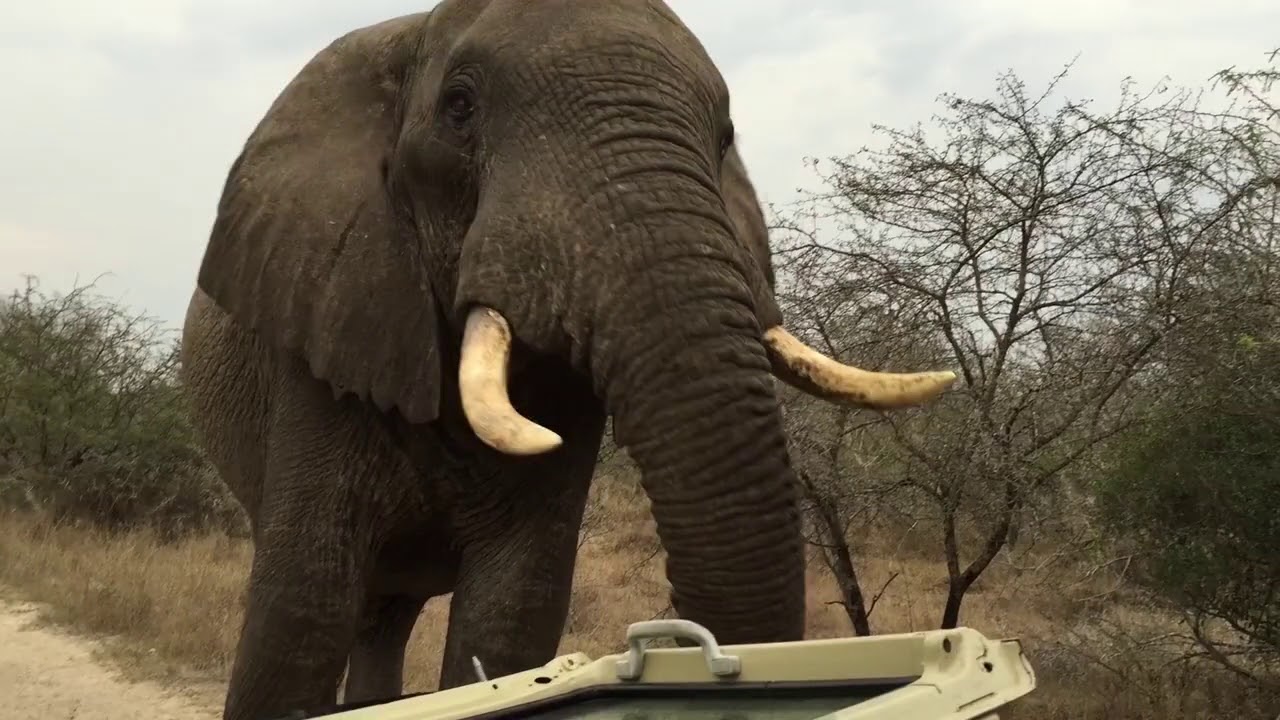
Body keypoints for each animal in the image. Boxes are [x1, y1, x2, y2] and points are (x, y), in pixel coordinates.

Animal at [178, 2, 956, 719]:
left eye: (725, 137)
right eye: (458, 107)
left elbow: (513, 612)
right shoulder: (326, 324)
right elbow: (300, 612)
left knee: (386, 619)